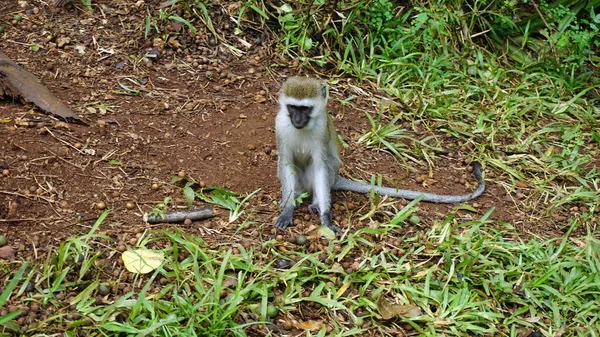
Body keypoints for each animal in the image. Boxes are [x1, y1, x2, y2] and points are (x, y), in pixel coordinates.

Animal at [274, 76, 486, 231]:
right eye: (293, 108)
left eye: (305, 109)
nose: (298, 120)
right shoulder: (280, 125)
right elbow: (285, 162)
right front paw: (288, 209)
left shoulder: (321, 129)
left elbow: (320, 166)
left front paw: (326, 217)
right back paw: (295, 196)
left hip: (330, 175)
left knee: (325, 168)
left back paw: (317, 202)